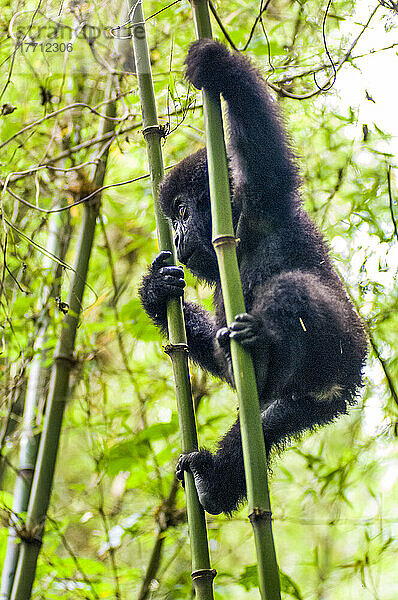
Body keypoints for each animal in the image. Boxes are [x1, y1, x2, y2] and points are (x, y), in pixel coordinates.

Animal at [139, 38, 366, 516]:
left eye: (182, 211)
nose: (179, 236)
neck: (236, 235)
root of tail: (343, 384)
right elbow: (221, 357)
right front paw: (157, 291)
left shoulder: (263, 199)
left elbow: (264, 154)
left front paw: (218, 66)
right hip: (306, 401)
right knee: (267, 419)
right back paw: (213, 484)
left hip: (343, 350)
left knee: (293, 291)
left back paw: (261, 339)